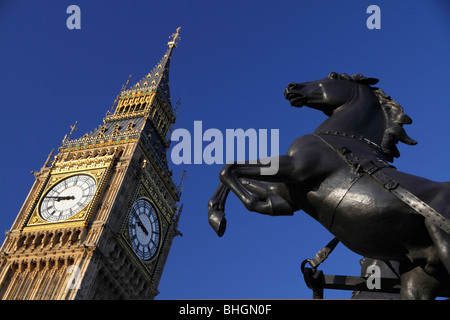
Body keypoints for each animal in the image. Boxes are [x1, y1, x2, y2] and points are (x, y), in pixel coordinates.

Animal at [207, 72, 450, 300]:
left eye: (332, 76)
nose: (291, 87)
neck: (343, 139)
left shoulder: (296, 167)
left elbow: (230, 168)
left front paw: (223, 216)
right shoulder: (288, 196)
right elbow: (242, 180)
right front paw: (220, 213)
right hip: (419, 276)